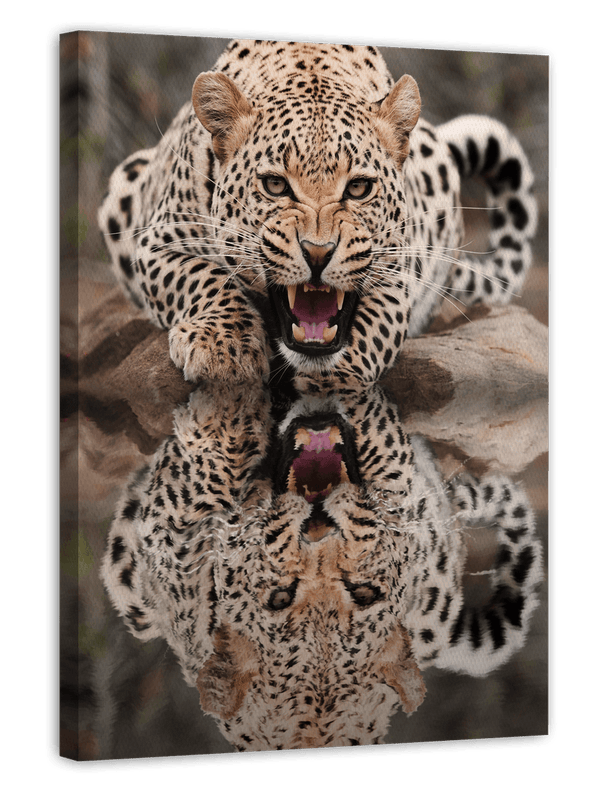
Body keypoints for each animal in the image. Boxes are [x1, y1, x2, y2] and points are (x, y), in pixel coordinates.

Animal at [98, 38, 537, 387]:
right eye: (275, 185)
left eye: (359, 188)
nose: (318, 253)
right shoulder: (157, 242)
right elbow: (203, 278)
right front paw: (225, 348)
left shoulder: (396, 271)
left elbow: (372, 328)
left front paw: (336, 382)